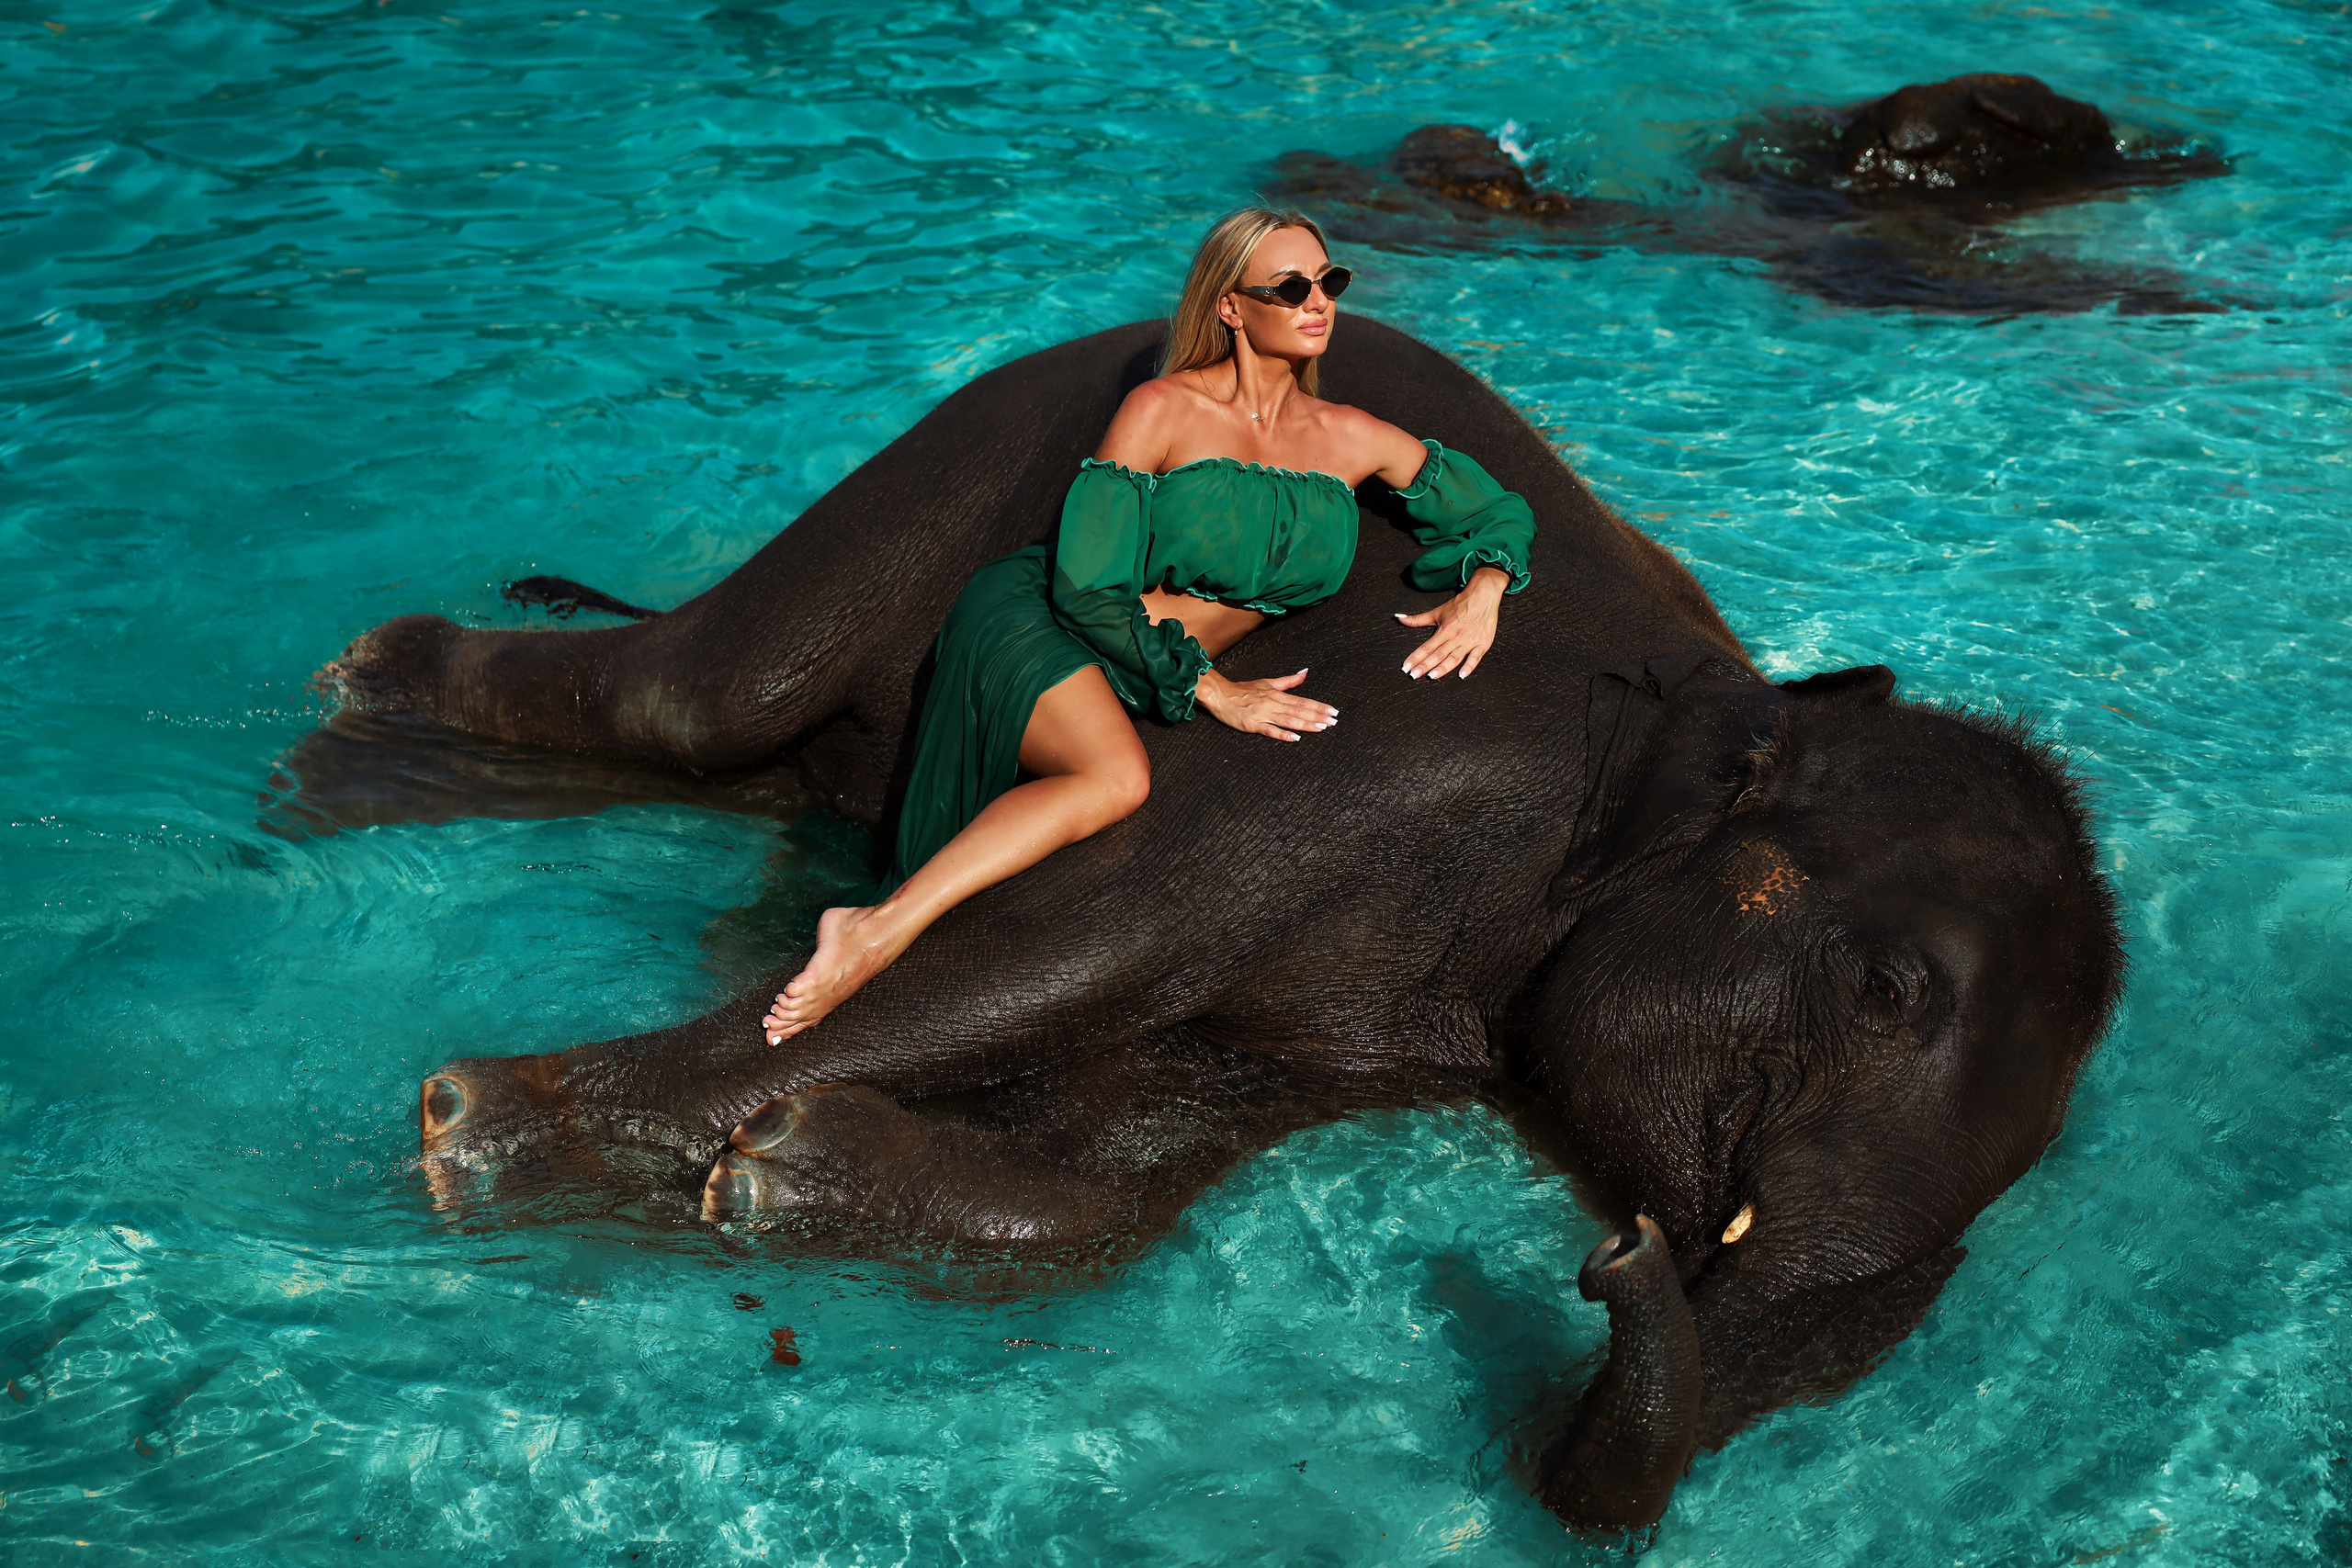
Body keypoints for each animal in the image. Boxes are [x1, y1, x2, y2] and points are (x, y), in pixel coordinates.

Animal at [288, 317, 2126, 1538]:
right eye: (1885, 989)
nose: (1617, 1255)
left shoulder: (1369, 1019)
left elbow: (1139, 1151)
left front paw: (786, 1167)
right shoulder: (1380, 756)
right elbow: (1054, 940)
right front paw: (480, 1129)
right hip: (972, 445)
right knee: (702, 690)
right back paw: (370, 690)